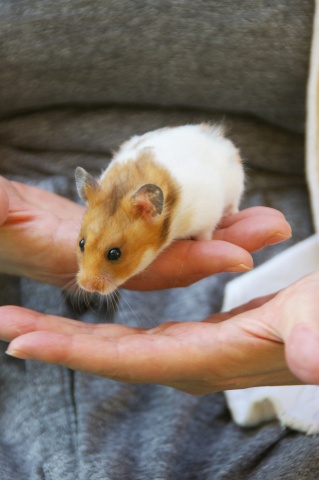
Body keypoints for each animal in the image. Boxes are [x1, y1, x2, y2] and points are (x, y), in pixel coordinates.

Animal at [75, 124, 245, 294]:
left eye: (114, 254)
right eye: (81, 243)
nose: (87, 286)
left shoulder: (207, 214)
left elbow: (205, 234)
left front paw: (202, 241)